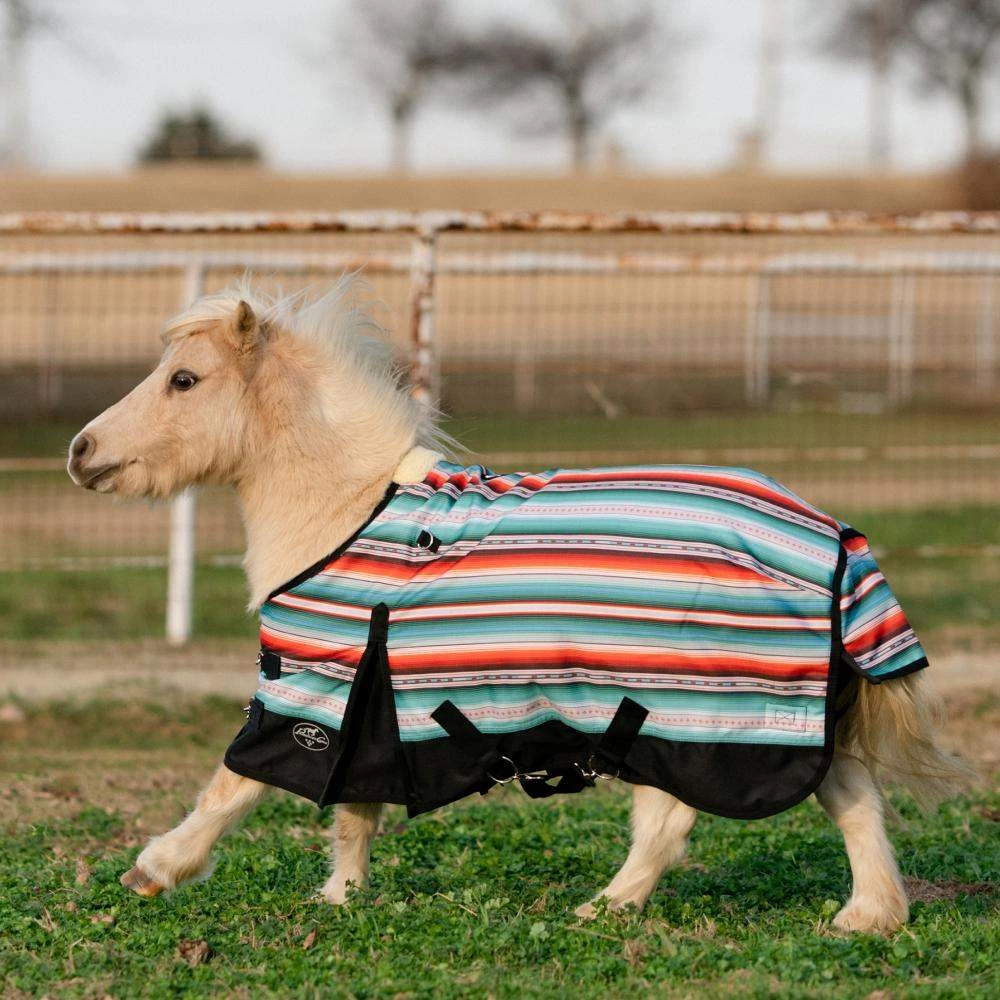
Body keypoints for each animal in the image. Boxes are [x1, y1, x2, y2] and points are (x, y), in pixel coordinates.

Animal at [67, 281, 971, 933]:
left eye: (185, 379)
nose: (80, 452)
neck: (349, 511)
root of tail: (833, 536)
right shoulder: (368, 699)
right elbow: (354, 809)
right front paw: (341, 898)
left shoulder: (313, 687)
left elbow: (234, 787)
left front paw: (155, 869)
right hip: (771, 722)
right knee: (853, 799)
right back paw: (867, 918)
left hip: (688, 715)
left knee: (673, 822)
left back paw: (601, 909)